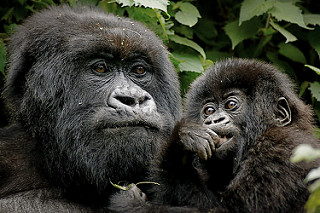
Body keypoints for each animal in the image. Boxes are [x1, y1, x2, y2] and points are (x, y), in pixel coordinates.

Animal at [109, 57, 320, 212]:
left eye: (231, 105)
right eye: (208, 110)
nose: (212, 120)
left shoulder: (279, 151)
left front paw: (127, 201)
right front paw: (183, 141)